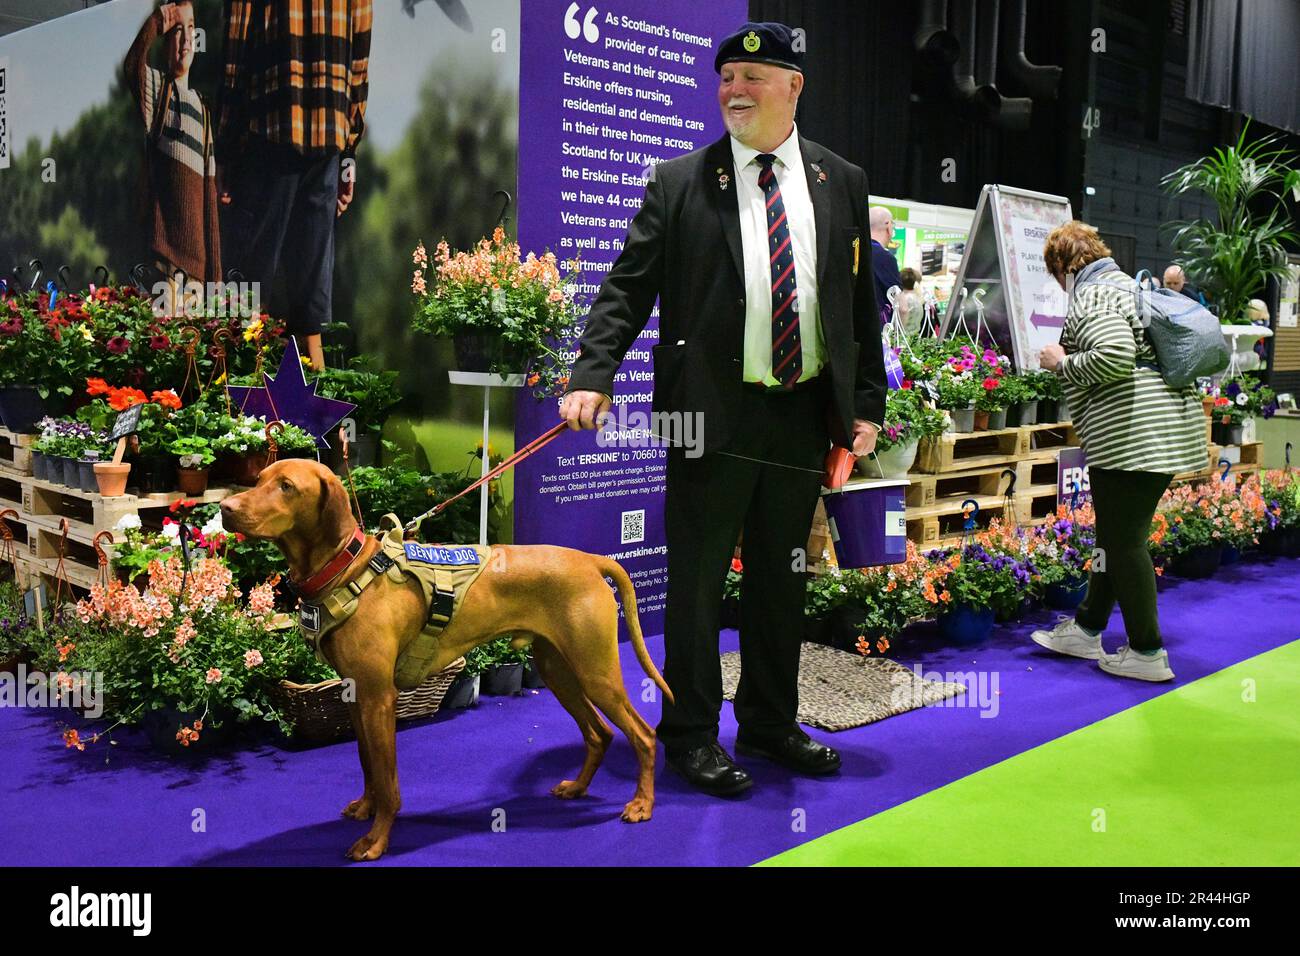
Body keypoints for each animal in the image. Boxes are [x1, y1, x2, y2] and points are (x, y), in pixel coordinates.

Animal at [219, 460, 670, 863]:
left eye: (287, 487)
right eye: (258, 479)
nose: (225, 508)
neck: (347, 569)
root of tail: (590, 559)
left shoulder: (379, 699)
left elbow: (388, 782)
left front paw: (376, 840)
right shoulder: (355, 694)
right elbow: (367, 764)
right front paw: (365, 808)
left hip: (596, 672)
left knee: (643, 735)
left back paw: (642, 805)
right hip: (559, 670)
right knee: (600, 733)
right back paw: (577, 788)